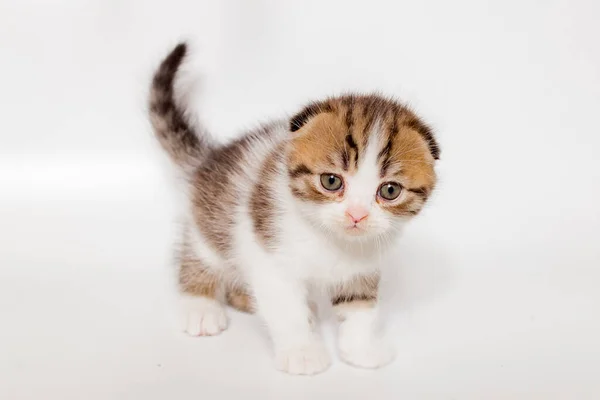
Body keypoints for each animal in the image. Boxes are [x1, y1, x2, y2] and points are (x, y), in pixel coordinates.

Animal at [149, 43, 440, 376]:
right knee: (198, 252)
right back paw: (201, 306)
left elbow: (360, 309)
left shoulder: (362, 268)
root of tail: (209, 159)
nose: (356, 215)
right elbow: (287, 311)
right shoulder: (270, 259)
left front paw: (362, 349)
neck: (329, 239)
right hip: (213, 221)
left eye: (390, 191)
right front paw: (303, 352)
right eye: (331, 181)